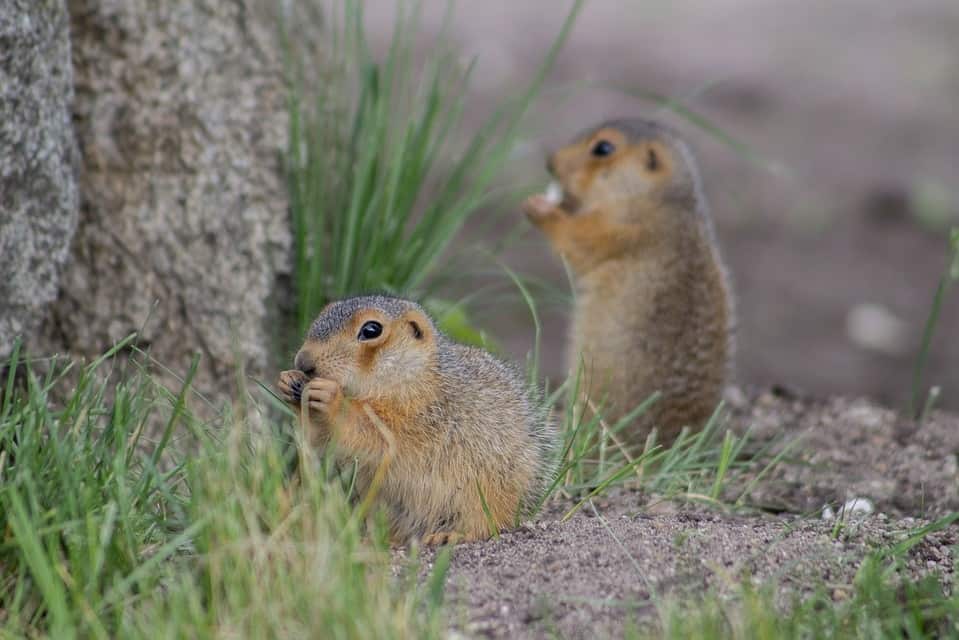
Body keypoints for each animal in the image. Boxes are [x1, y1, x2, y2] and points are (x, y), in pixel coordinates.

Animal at [278, 296, 556, 544]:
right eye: (322, 314)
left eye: (371, 330)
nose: (303, 361)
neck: (410, 374)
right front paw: (289, 382)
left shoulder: (421, 413)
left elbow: (380, 437)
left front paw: (332, 399)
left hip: (484, 493)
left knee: (487, 523)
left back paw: (450, 535)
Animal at [524, 117, 736, 448]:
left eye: (603, 148)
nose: (550, 162)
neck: (660, 201)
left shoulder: (624, 225)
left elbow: (580, 239)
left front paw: (540, 207)